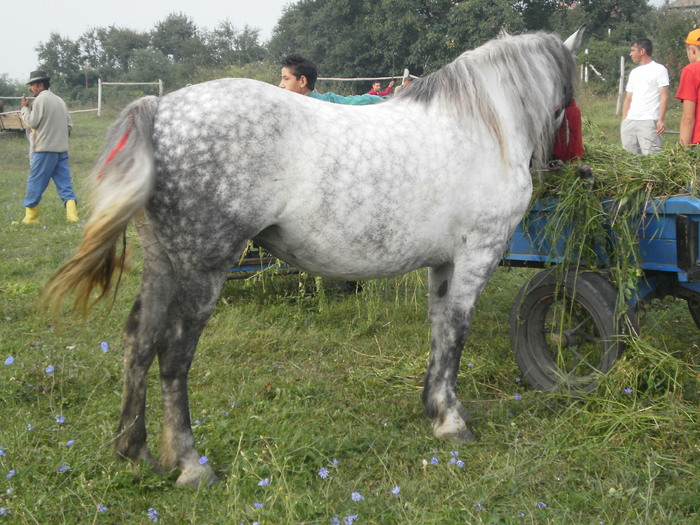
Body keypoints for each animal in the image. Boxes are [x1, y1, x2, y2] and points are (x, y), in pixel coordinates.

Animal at [45, 27, 584, 488]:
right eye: (568, 102)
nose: (572, 165)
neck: (481, 125)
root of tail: (161, 107)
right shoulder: (476, 256)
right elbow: (456, 332)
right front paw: (452, 422)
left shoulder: (445, 264)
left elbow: (439, 331)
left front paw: (434, 408)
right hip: (202, 273)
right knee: (173, 355)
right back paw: (191, 465)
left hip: (163, 266)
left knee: (137, 342)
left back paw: (132, 450)